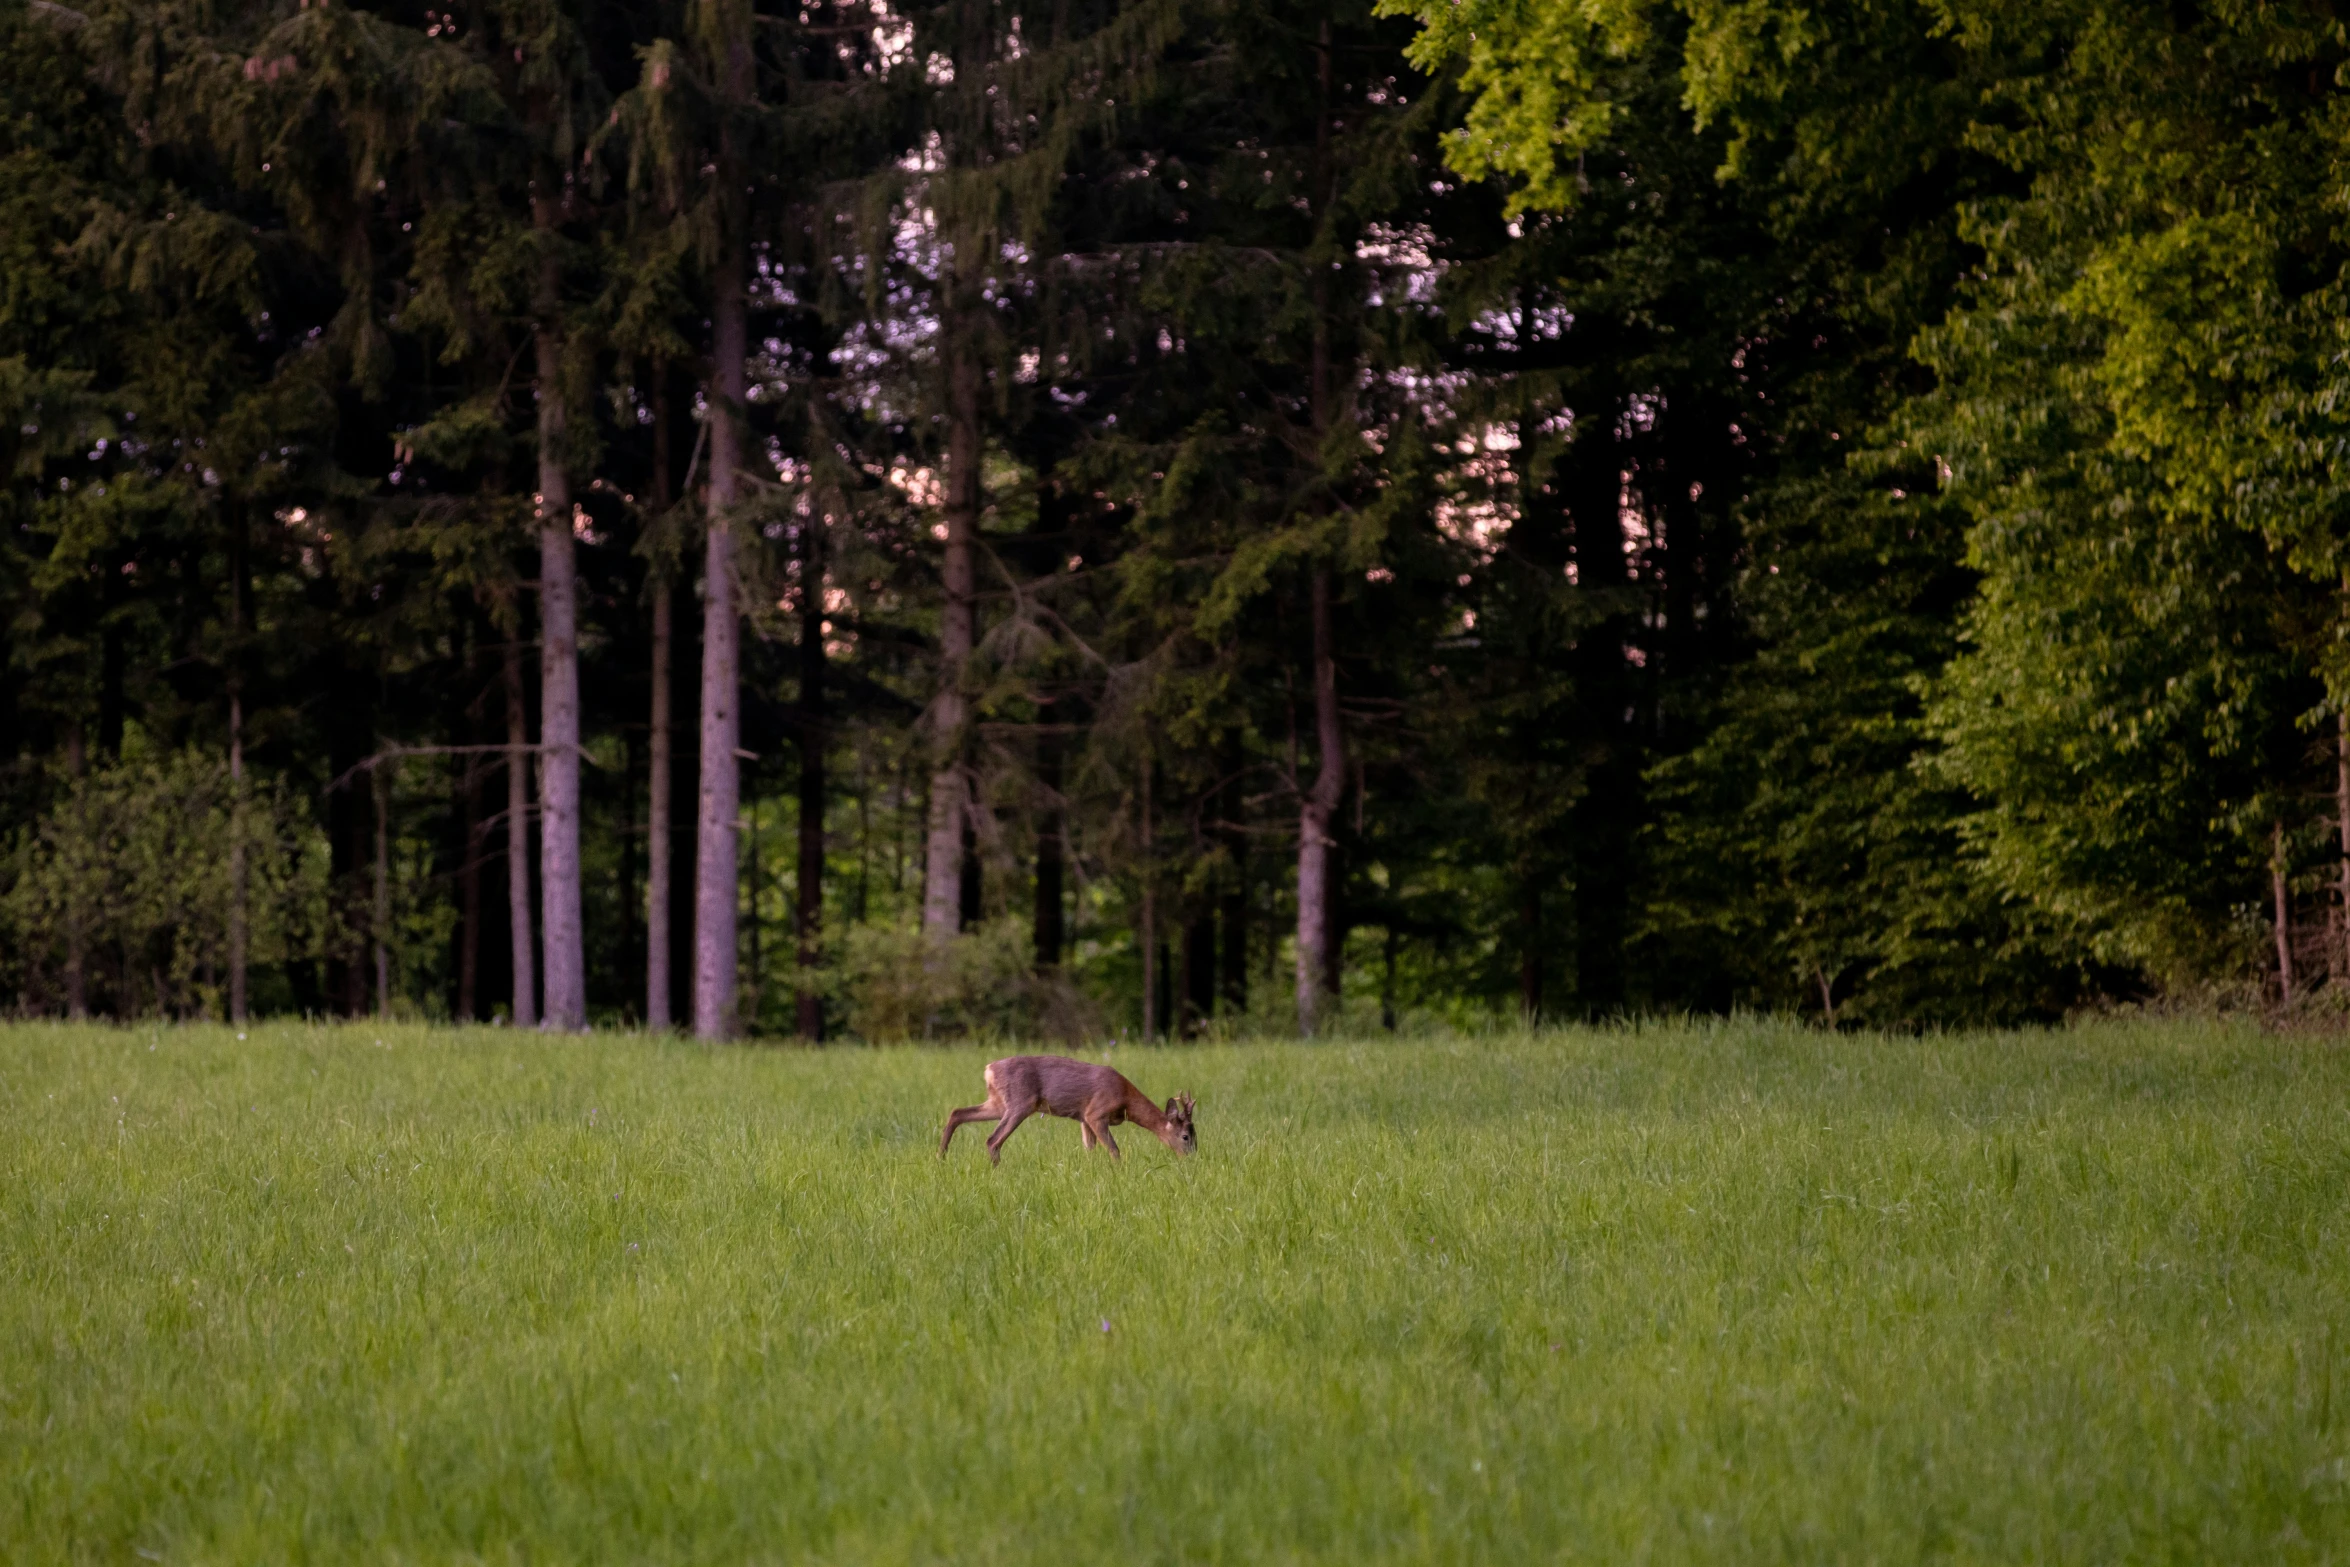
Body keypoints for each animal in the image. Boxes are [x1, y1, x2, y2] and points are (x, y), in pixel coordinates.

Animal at [935, 1052, 1193, 1165]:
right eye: (1186, 1136)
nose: (1192, 1158)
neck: (1125, 1099)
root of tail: (989, 1069)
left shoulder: (1084, 1119)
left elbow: (1090, 1149)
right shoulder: (1095, 1113)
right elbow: (1114, 1149)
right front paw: (1119, 1171)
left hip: (998, 1103)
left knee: (957, 1112)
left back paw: (941, 1156)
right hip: (1020, 1102)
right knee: (993, 1139)